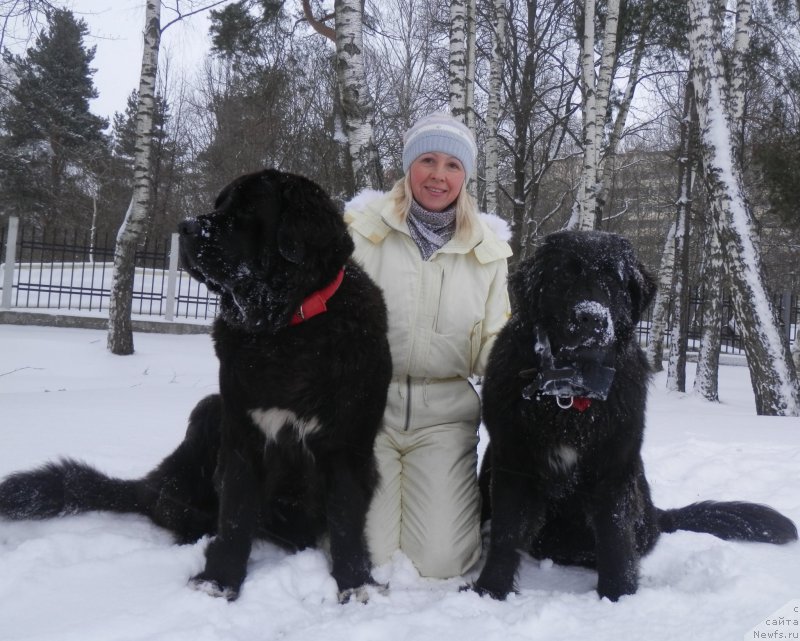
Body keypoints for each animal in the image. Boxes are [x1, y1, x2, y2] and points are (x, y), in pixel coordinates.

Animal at [0, 169, 394, 600]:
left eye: (249, 209)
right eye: (218, 205)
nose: (186, 227)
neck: (285, 329)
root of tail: (151, 484)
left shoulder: (347, 443)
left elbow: (345, 519)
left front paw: (356, 586)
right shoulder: (241, 434)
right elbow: (236, 516)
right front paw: (218, 581)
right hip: (208, 412)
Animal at [472, 229, 796, 600]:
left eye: (613, 279)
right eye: (563, 276)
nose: (591, 317)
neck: (571, 392)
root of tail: (657, 515)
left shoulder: (615, 465)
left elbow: (615, 535)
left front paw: (618, 595)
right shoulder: (514, 462)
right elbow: (507, 531)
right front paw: (490, 589)